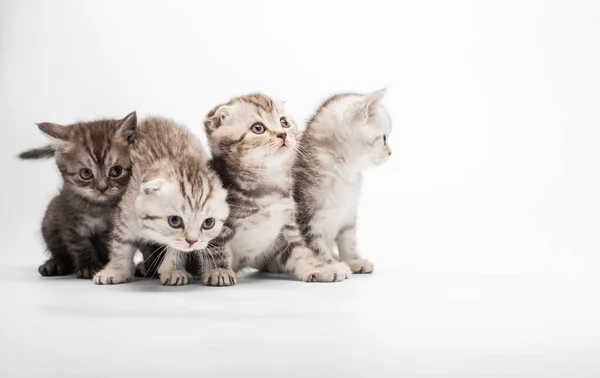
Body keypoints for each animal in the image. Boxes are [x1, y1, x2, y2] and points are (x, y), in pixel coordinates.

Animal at [18, 111, 137, 278]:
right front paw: (88, 266)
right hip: (50, 215)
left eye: (116, 171)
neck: (98, 207)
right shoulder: (70, 221)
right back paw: (54, 264)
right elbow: (79, 244)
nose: (102, 188)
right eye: (86, 173)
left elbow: (114, 246)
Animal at [94, 116, 234, 284]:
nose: (192, 241)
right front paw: (115, 270)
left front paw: (173, 271)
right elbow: (121, 245)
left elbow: (177, 250)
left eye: (208, 223)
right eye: (175, 221)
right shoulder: (125, 215)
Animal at [292, 90, 392, 274]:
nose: (391, 152)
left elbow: (348, 240)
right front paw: (328, 266)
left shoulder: (349, 214)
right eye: (384, 138)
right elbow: (314, 247)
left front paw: (353, 261)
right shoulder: (304, 218)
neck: (343, 173)